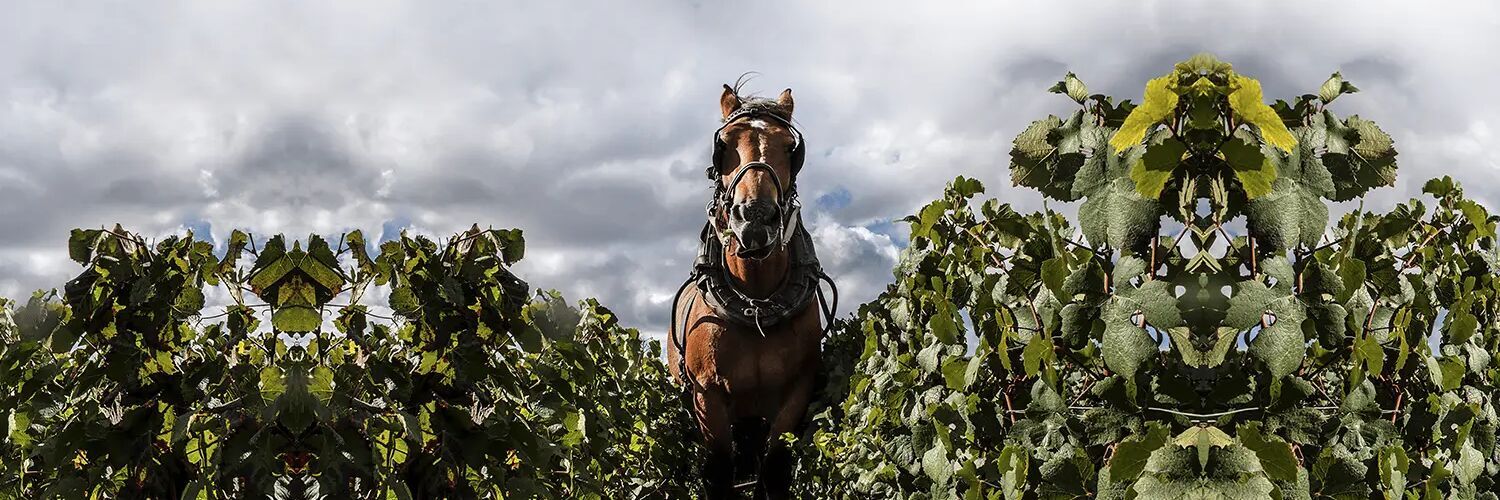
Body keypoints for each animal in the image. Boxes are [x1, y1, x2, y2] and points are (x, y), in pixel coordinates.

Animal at [672, 83, 840, 495]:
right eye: (724, 144)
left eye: (790, 148)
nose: (756, 220)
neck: (757, 303)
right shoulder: (708, 398)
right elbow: (719, 471)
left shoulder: (795, 393)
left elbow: (774, 468)